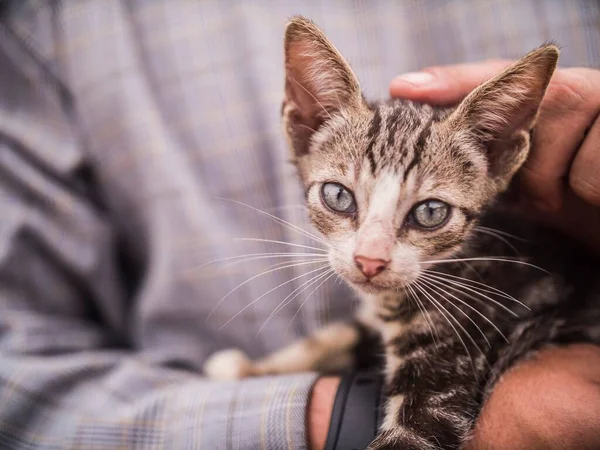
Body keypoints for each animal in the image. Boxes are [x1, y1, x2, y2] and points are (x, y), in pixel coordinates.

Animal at [204, 15, 596, 448]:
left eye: (430, 212)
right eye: (337, 196)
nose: (369, 260)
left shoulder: (451, 364)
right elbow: (342, 334)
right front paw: (249, 368)